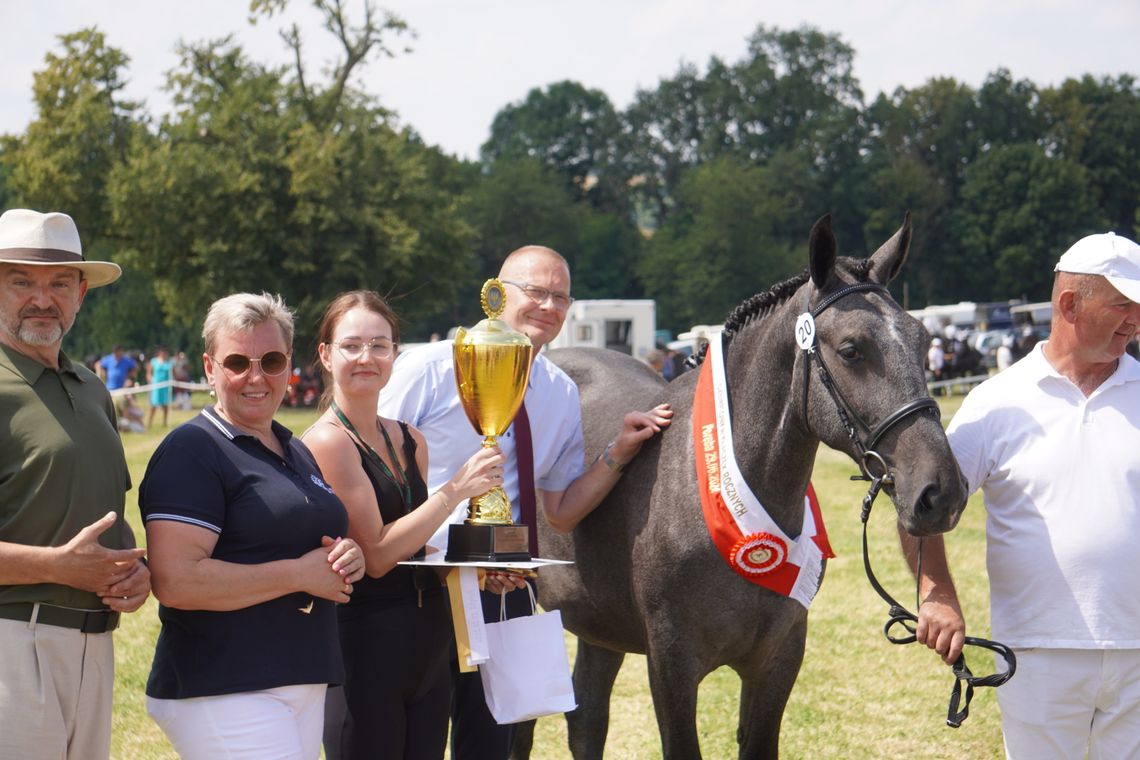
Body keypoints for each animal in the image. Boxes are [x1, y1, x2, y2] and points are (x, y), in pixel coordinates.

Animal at [528, 215, 966, 760]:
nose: (940, 492)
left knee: (587, 719)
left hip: (600, 626)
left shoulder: (777, 659)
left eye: (923, 340)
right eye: (850, 350)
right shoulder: (671, 666)